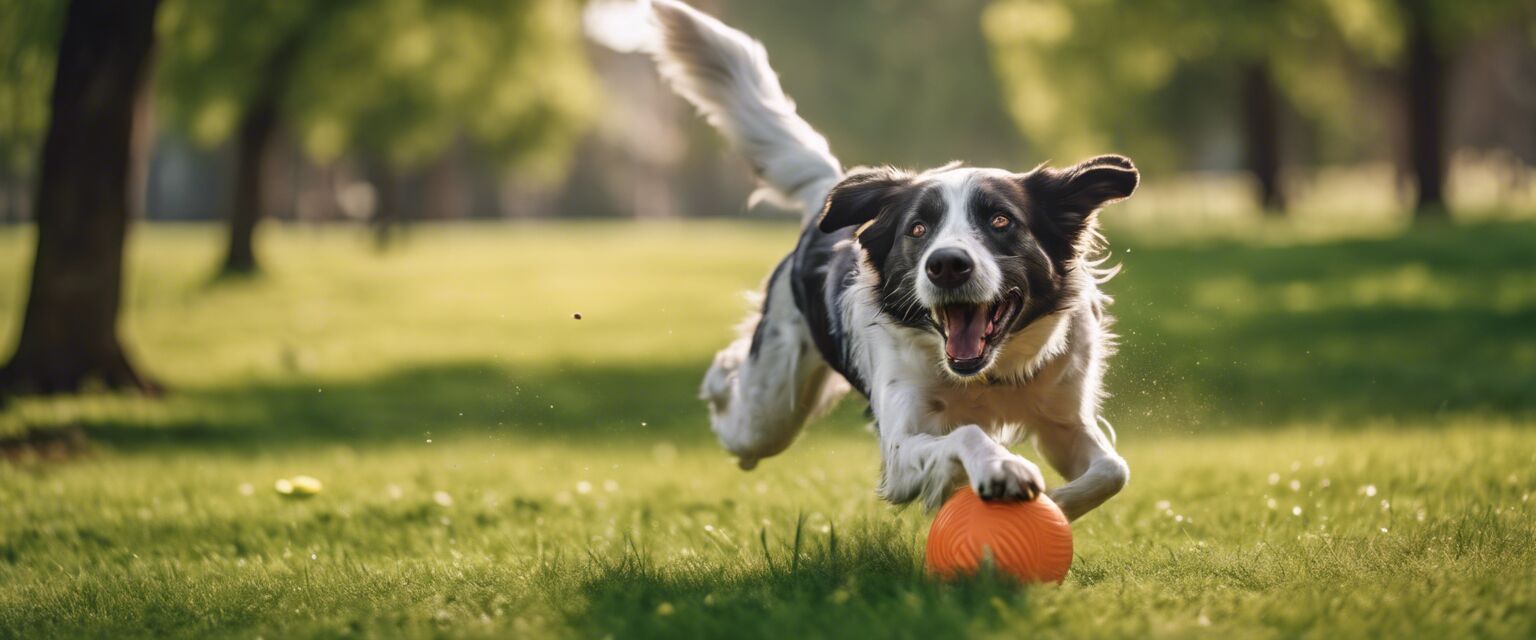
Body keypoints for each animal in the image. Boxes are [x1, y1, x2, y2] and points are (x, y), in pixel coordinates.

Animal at [642, 0, 1136, 518]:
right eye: (917, 229)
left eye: (1001, 220)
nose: (946, 265)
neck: (988, 377)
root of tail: (829, 192)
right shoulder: (901, 447)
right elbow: (968, 433)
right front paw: (1004, 468)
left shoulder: (1064, 416)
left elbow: (1113, 470)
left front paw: (1057, 505)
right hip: (770, 407)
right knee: (736, 401)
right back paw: (719, 379)